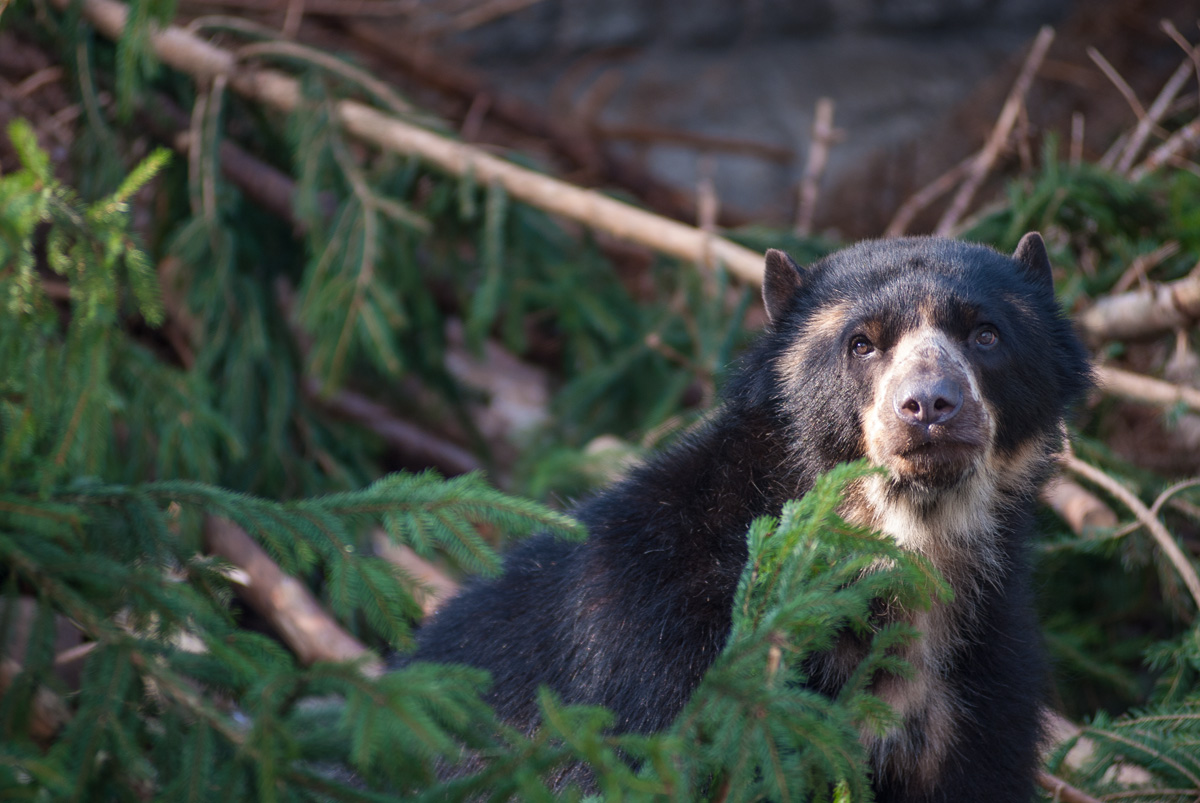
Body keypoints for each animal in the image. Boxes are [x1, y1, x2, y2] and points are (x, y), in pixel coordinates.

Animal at [415, 228, 1099, 796]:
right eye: (861, 344)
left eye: (986, 334)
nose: (929, 405)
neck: (901, 549)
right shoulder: (660, 646)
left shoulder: (981, 679)